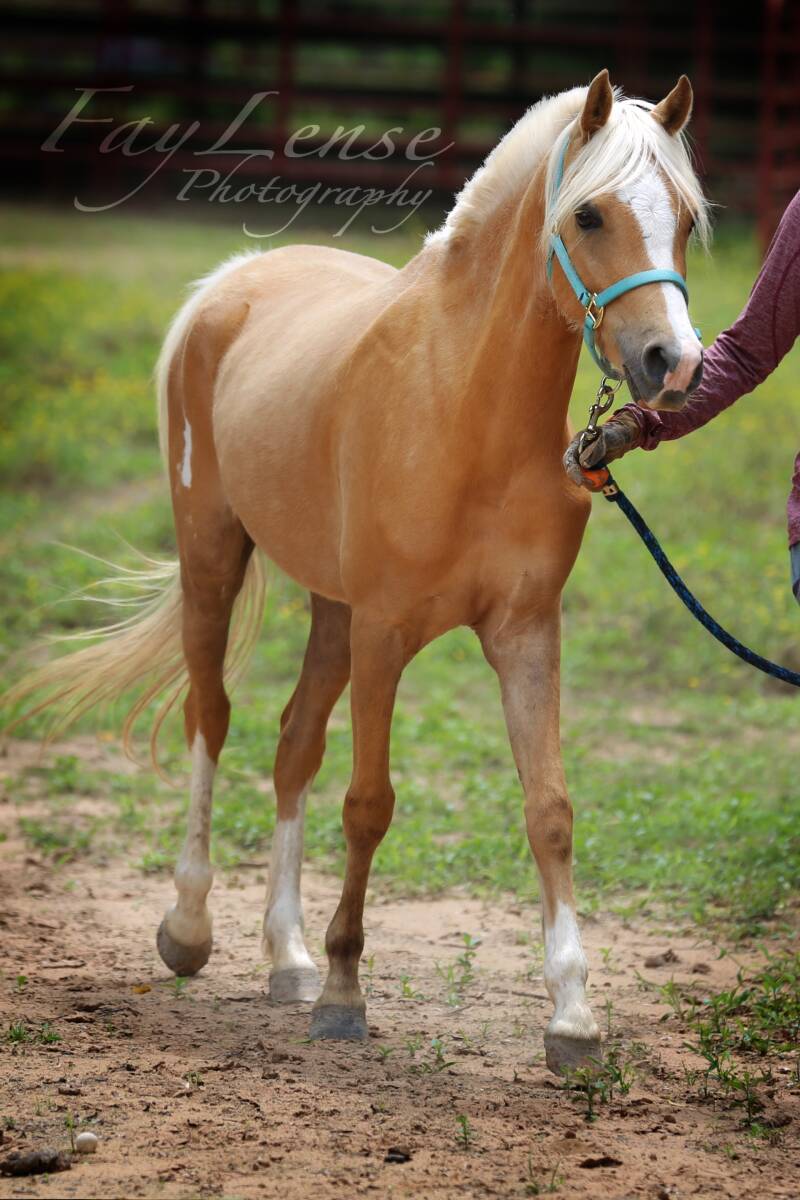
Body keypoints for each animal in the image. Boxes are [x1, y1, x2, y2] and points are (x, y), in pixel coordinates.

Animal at [6, 70, 709, 1074]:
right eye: (590, 214)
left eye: (685, 219)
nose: (673, 363)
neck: (464, 409)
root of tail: (234, 283)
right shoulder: (386, 633)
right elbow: (369, 803)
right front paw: (344, 994)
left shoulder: (526, 634)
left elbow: (551, 809)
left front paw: (572, 1015)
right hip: (215, 560)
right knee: (211, 717)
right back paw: (191, 929)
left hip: (328, 608)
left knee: (292, 742)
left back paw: (286, 956)